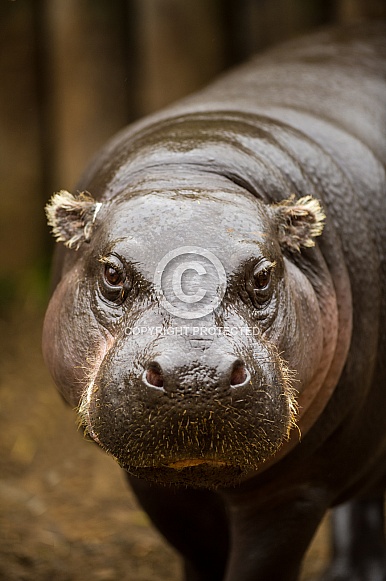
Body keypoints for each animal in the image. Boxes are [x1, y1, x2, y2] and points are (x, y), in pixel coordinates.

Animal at [42, 21, 386, 580]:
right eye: (112, 272)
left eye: (264, 275)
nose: (195, 374)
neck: (193, 167)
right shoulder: (156, 486)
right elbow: (200, 554)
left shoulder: (294, 492)